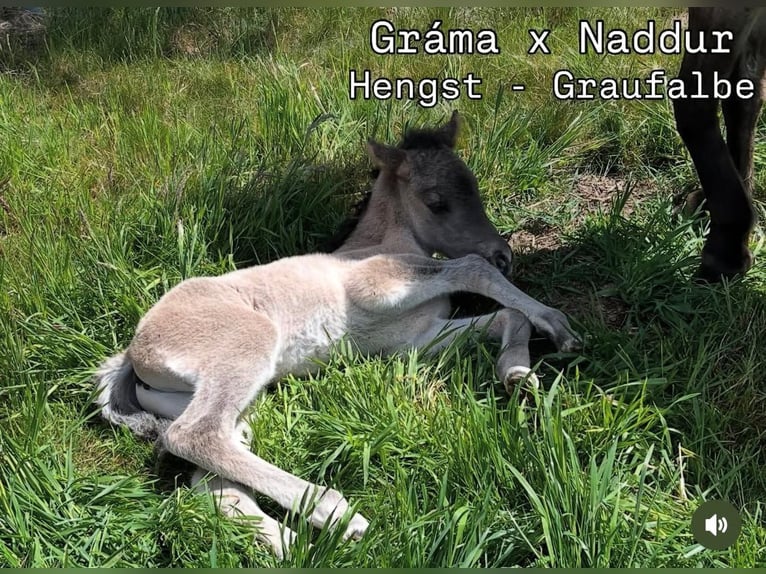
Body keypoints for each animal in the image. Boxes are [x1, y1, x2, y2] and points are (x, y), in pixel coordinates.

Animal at [93, 112, 581, 558]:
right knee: (195, 436)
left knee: (213, 462)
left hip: (205, 397)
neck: (382, 244)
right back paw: (333, 513)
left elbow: (507, 317)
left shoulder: (415, 338)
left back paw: (286, 542)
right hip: (246, 348)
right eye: (436, 201)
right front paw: (557, 324)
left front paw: (519, 376)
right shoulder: (377, 286)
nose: (503, 255)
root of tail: (134, 352)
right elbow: (472, 270)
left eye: (474, 184)